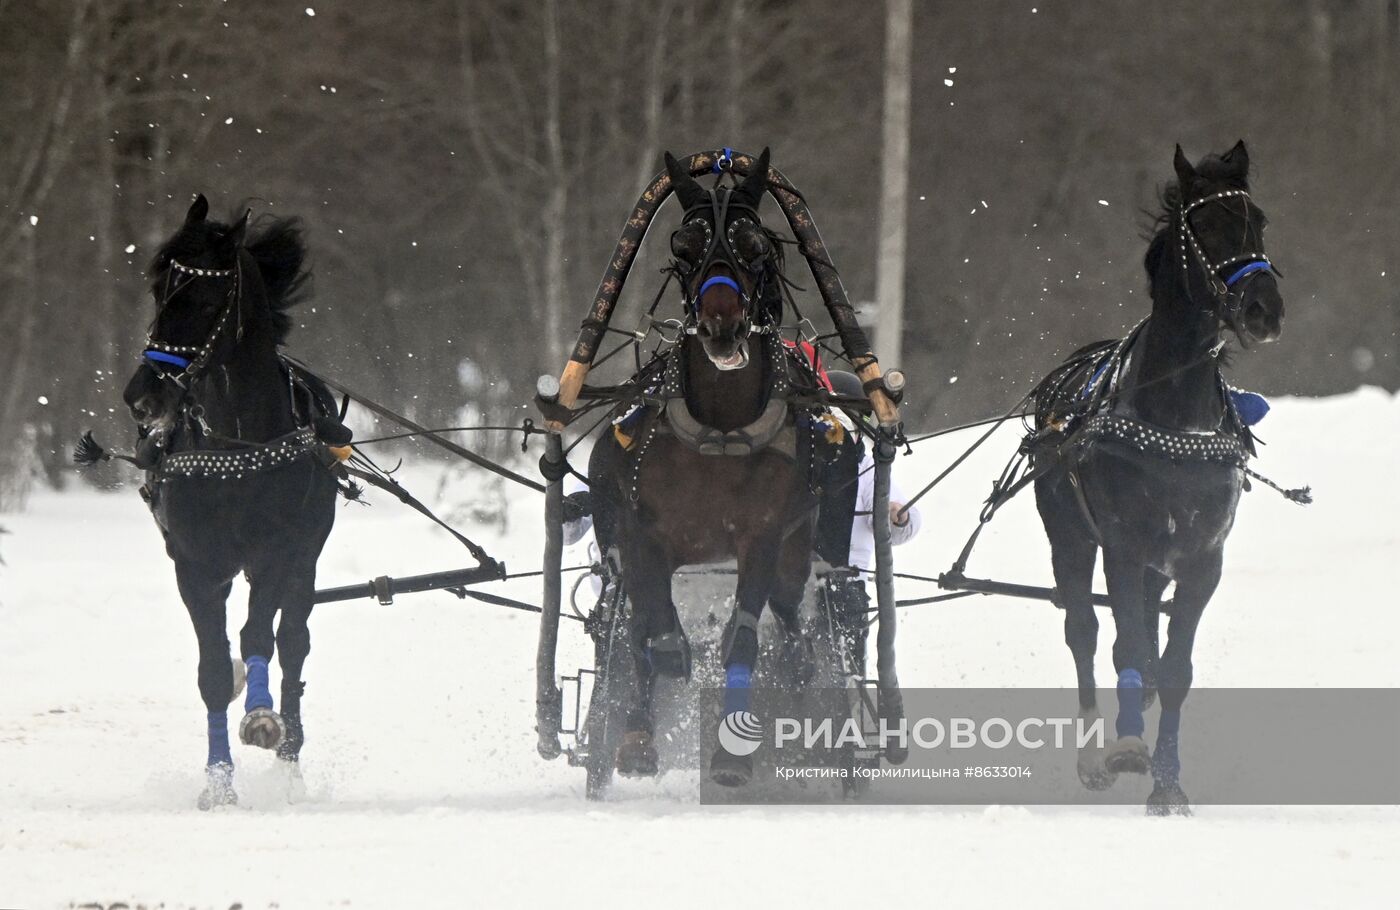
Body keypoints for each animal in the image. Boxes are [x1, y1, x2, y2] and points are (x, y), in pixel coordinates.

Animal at [123, 194, 347, 806]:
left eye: (204, 300)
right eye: (158, 290)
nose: (141, 396)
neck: (236, 447)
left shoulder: (275, 554)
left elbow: (258, 639)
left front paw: (263, 719)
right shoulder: (196, 566)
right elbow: (213, 672)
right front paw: (219, 782)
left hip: (305, 558)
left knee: (292, 642)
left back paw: (290, 762)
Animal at [585, 147, 823, 778]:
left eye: (756, 246)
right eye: (682, 246)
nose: (720, 323)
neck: (718, 428)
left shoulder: (761, 537)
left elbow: (742, 636)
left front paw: (730, 751)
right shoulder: (642, 535)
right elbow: (652, 630)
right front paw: (639, 735)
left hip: (796, 552)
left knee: (790, 616)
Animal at [1030, 143, 1282, 817]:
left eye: (1259, 220)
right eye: (1207, 225)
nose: (1264, 308)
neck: (1174, 416)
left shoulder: (1201, 557)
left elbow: (1173, 670)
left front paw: (1168, 786)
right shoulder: (1123, 543)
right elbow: (1127, 649)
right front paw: (1126, 749)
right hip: (1070, 537)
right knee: (1084, 632)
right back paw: (1094, 755)